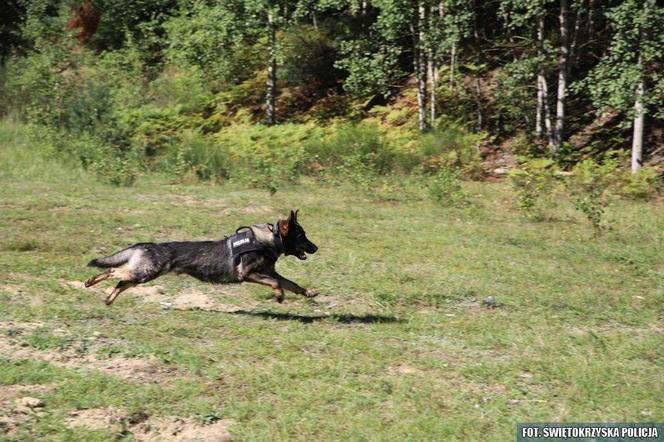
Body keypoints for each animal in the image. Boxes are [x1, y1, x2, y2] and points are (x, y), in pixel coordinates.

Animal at [83, 210, 320, 304]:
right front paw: (279, 296)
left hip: (141, 275)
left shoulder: (270, 273)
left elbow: (292, 284)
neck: (268, 239)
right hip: (146, 272)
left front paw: (308, 292)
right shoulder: (249, 274)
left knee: (121, 281)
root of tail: (145, 244)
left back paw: (109, 299)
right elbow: (276, 284)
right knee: (113, 271)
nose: (316, 248)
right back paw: (90, 281)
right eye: (301, 236)